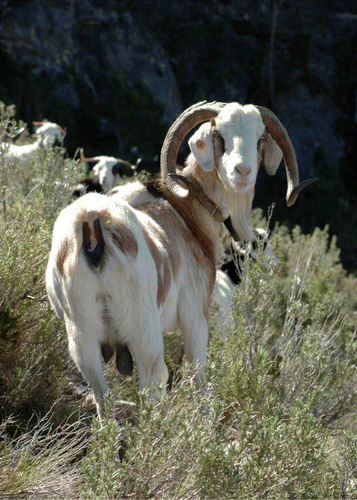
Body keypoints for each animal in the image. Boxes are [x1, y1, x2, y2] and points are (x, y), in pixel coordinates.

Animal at [44, 99, 314, 416]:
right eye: (219, 134)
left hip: (81, 335)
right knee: (153, 381)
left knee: (102, 396)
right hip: (143, 330)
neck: (185, 211)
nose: (243, 172)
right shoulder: (195, 315)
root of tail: (92, 225)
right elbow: (197, 376)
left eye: (260, 138)